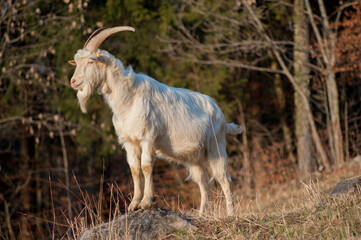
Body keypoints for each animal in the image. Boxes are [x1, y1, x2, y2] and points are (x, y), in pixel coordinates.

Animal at [67, 26, 242, 216]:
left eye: (90, 62)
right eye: (76, 62)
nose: (73, 81)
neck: (129, 98)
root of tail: (220, 115)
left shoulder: (148, 138)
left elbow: (146, 166)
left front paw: (146, 202)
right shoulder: (129, 142)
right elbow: (134, 169)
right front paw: (133, 205)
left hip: (215, 147)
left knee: (224, 179)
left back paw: (231, 214)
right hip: (194, 157)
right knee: (205, 183)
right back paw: (202, 215)